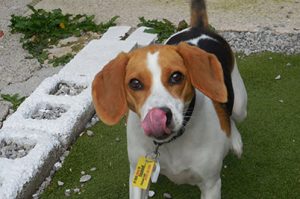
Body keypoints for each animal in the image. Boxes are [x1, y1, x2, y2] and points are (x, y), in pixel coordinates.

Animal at [92, 0, 247, 198]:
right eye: (135, 83)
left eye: (176, 77)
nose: (160, 116)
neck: (168, 144)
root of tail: (198, 27)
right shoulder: (136, 176)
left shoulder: (211, 184)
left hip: (240, 104)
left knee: (231, 115)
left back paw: (234, 139)